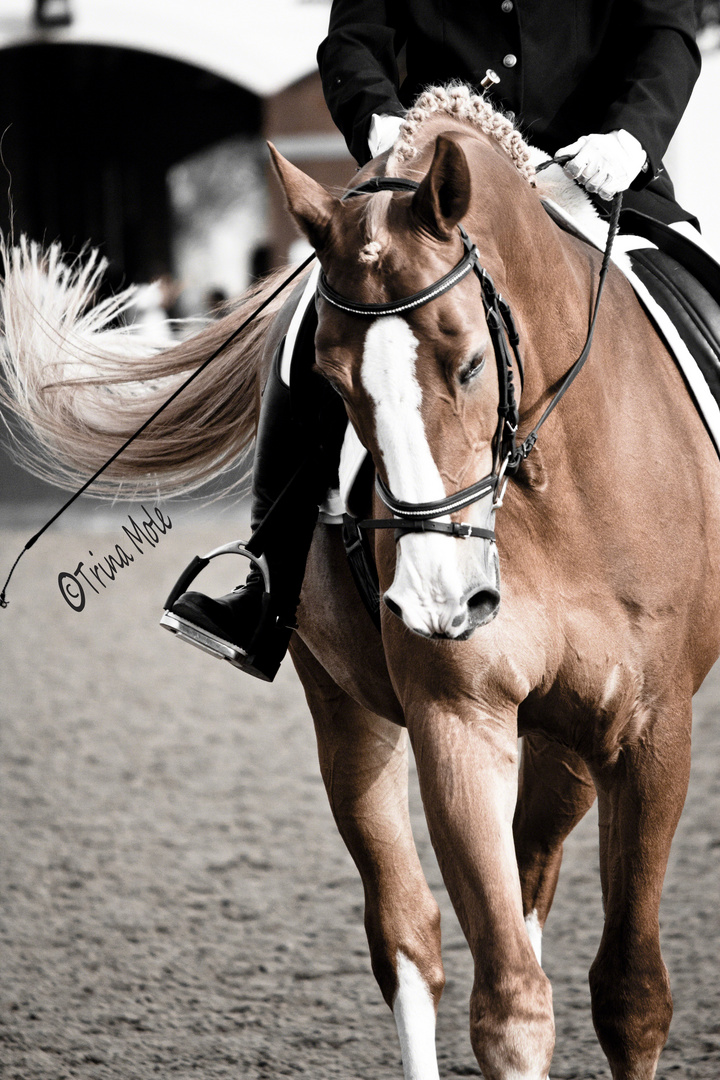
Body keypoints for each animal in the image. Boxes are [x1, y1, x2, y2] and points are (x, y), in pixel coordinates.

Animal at [2, 85, 719, 1080]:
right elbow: (509, 1003)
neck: (554, 484)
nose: (439, 599)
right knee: (410, 934)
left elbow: (631, 996)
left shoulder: (651, 732)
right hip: (345, 707)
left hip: (574, 743)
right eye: (334, 385)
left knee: (532, 877)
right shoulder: (459, 717)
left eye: (468, 362)